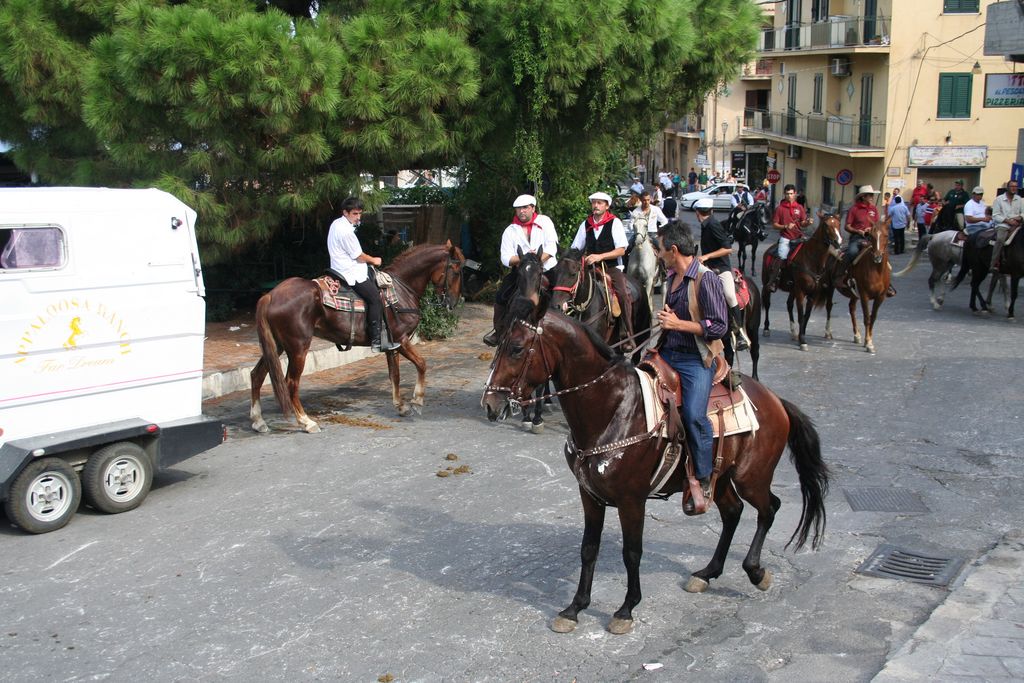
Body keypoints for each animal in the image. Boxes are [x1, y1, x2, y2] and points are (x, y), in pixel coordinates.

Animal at [249, 241, 465, 433]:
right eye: (455, 271)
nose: (453, 303)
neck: (401, 289)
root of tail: (271, 295)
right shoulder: (402, 340)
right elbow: (421, 364)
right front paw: (417, 401)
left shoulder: (392, 345)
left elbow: (394, 374)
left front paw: (401, 406)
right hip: (298, 348)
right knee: (291, 383)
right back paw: (306, 422)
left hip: (277, 345)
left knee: (257, 375)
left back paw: (258, 421)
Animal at [481, 299, 829, 635]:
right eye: (499, 344)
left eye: (516, 348)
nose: (490, 404)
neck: (612, 408)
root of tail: (776, 400)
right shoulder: (589, 495)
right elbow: (588, 548)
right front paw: (574, 608)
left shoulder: (631, 500)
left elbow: (632, 552)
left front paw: (626, 609)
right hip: (721, 479)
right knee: (733, 512)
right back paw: (707, 573)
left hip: (751, 477)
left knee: (769, 508)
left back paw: (755, 571)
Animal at [761, 212, 843, 350]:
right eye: (826, 225)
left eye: (838, 223)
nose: (838, 242)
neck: (812, 259)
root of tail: (769, 250)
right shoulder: (800, 292)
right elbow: (800, 316)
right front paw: (802, 341)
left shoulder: (812, 293)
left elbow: (806, 316)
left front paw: (801, 336)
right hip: (766, 284)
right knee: (767, 304)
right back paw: (766, 328)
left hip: (792, 289)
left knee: (789, 305)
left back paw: (793, 332)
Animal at [834, 216, 892, 354]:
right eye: (871, 236)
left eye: (886, 235)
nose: (877, 257)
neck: (877, 270)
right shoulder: (864, 295)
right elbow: (867, 318)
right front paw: (869, 343)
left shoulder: (880, 297)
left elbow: (873, 317)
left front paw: (868, 340)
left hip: (854, 294)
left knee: (852, 308)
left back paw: (857, 335)